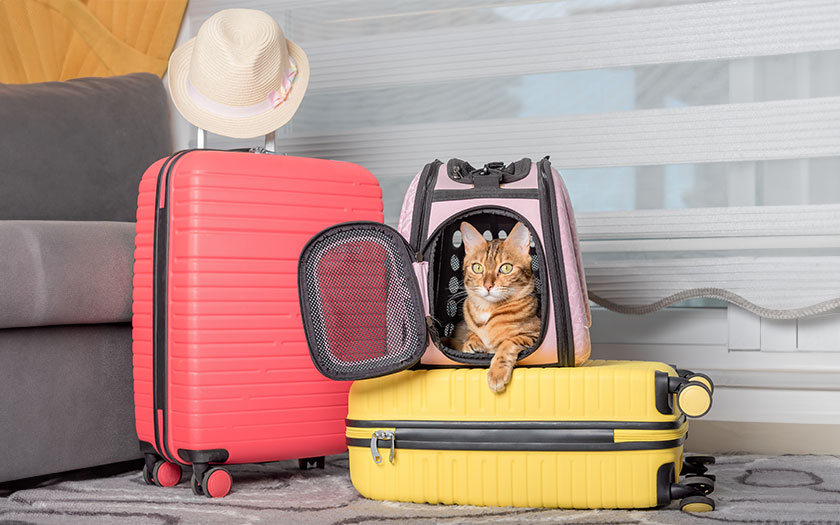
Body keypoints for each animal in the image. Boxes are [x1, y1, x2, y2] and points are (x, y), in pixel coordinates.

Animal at [442, 219, 540, 390]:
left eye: (506, 268)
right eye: (477, 267)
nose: (488, 285)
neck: (488, 309)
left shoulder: (534, 334)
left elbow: (508, 343)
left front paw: (497, 373)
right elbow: (471, 333)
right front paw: (472, 342)